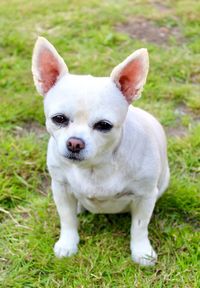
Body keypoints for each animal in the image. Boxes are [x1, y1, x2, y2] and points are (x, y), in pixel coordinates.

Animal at [32, 37, 170, 266]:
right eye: (58, 119)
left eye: (104, 125)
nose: (74, 143)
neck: (95, 166)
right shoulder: (60, 187)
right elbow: (67, 218)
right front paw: (68, 244)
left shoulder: (145, 195)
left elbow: (139, 226)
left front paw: (141, 252)